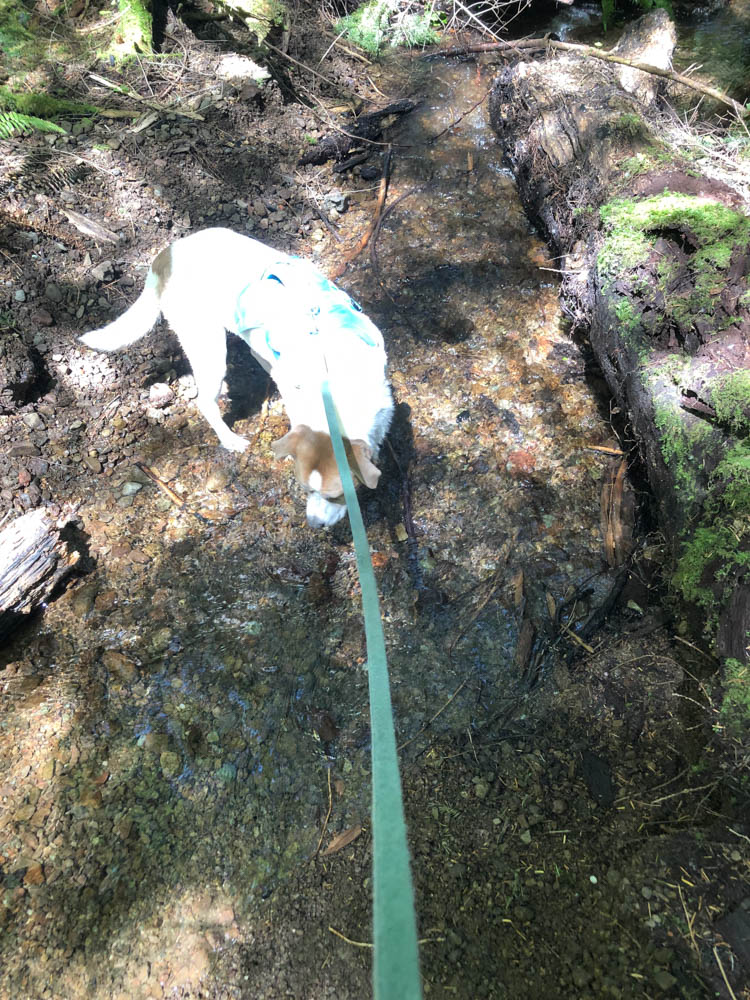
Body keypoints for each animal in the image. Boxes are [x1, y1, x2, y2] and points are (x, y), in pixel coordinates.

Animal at [79, 224, 396, 528]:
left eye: (338, 496)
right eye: (306, 490)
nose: (314, 525)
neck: (339, 379)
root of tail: (163, 258)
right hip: (209, 349)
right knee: (205, 401)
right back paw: (230, 440)